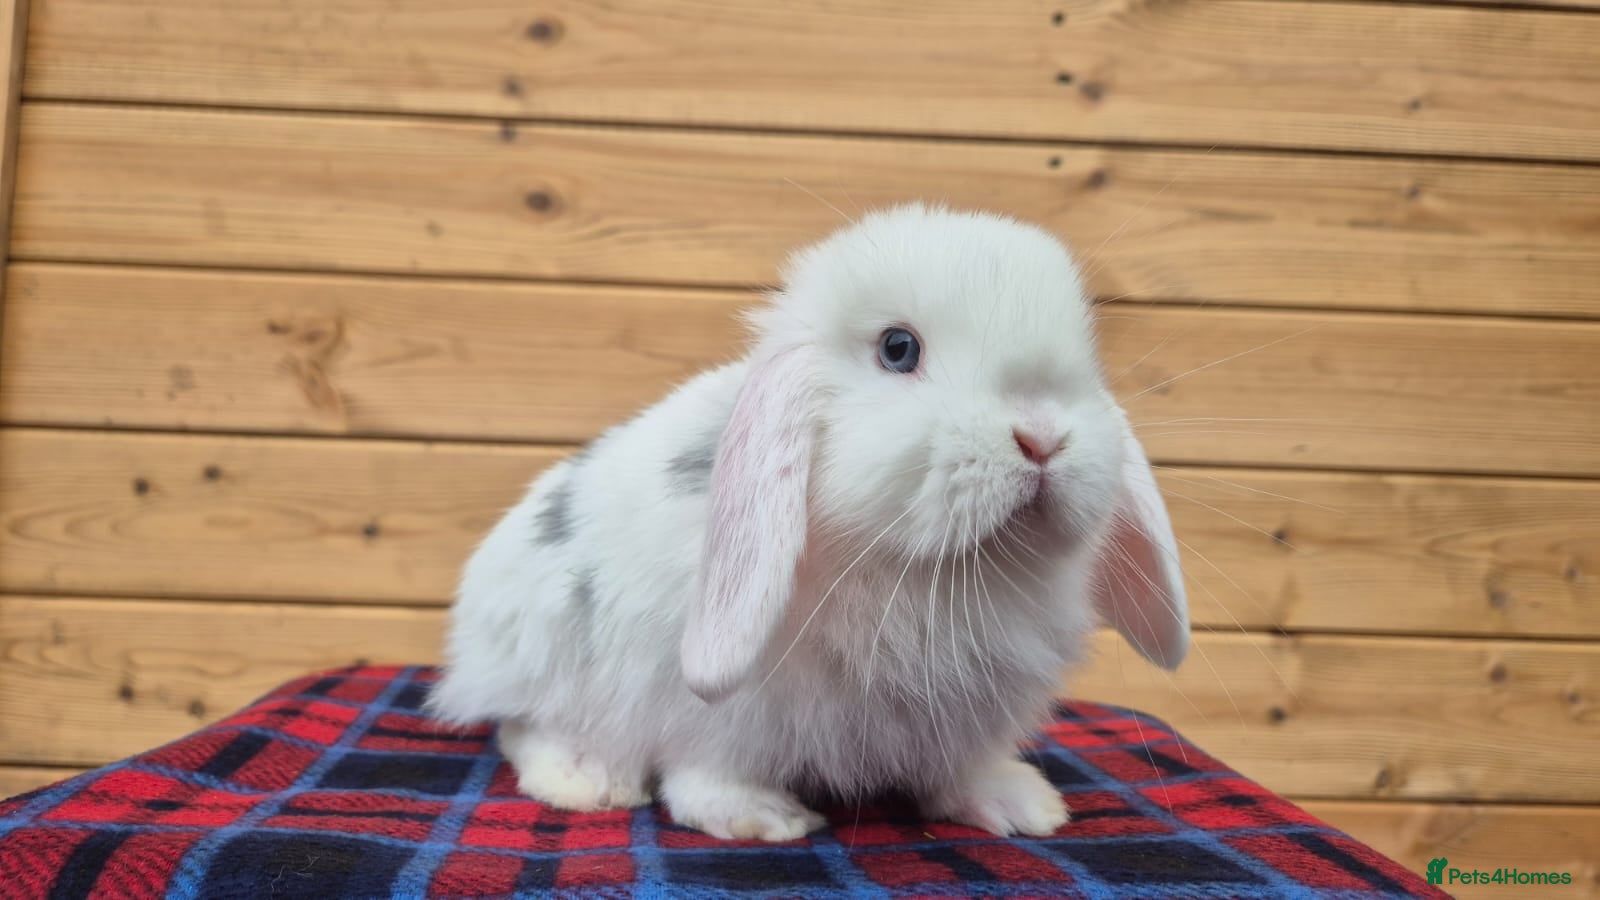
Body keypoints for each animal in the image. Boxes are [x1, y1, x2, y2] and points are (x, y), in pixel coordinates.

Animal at [425, 202, 1188, 842]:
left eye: (1086, 358)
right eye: (898, 349)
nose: (1042, 438)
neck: (936, 573)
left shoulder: (968, 716)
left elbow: (962, 770)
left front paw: (1022, 804)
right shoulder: (718, 706)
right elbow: (708, 771)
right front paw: (762, 818)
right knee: (521, 725)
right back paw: (585, 781)